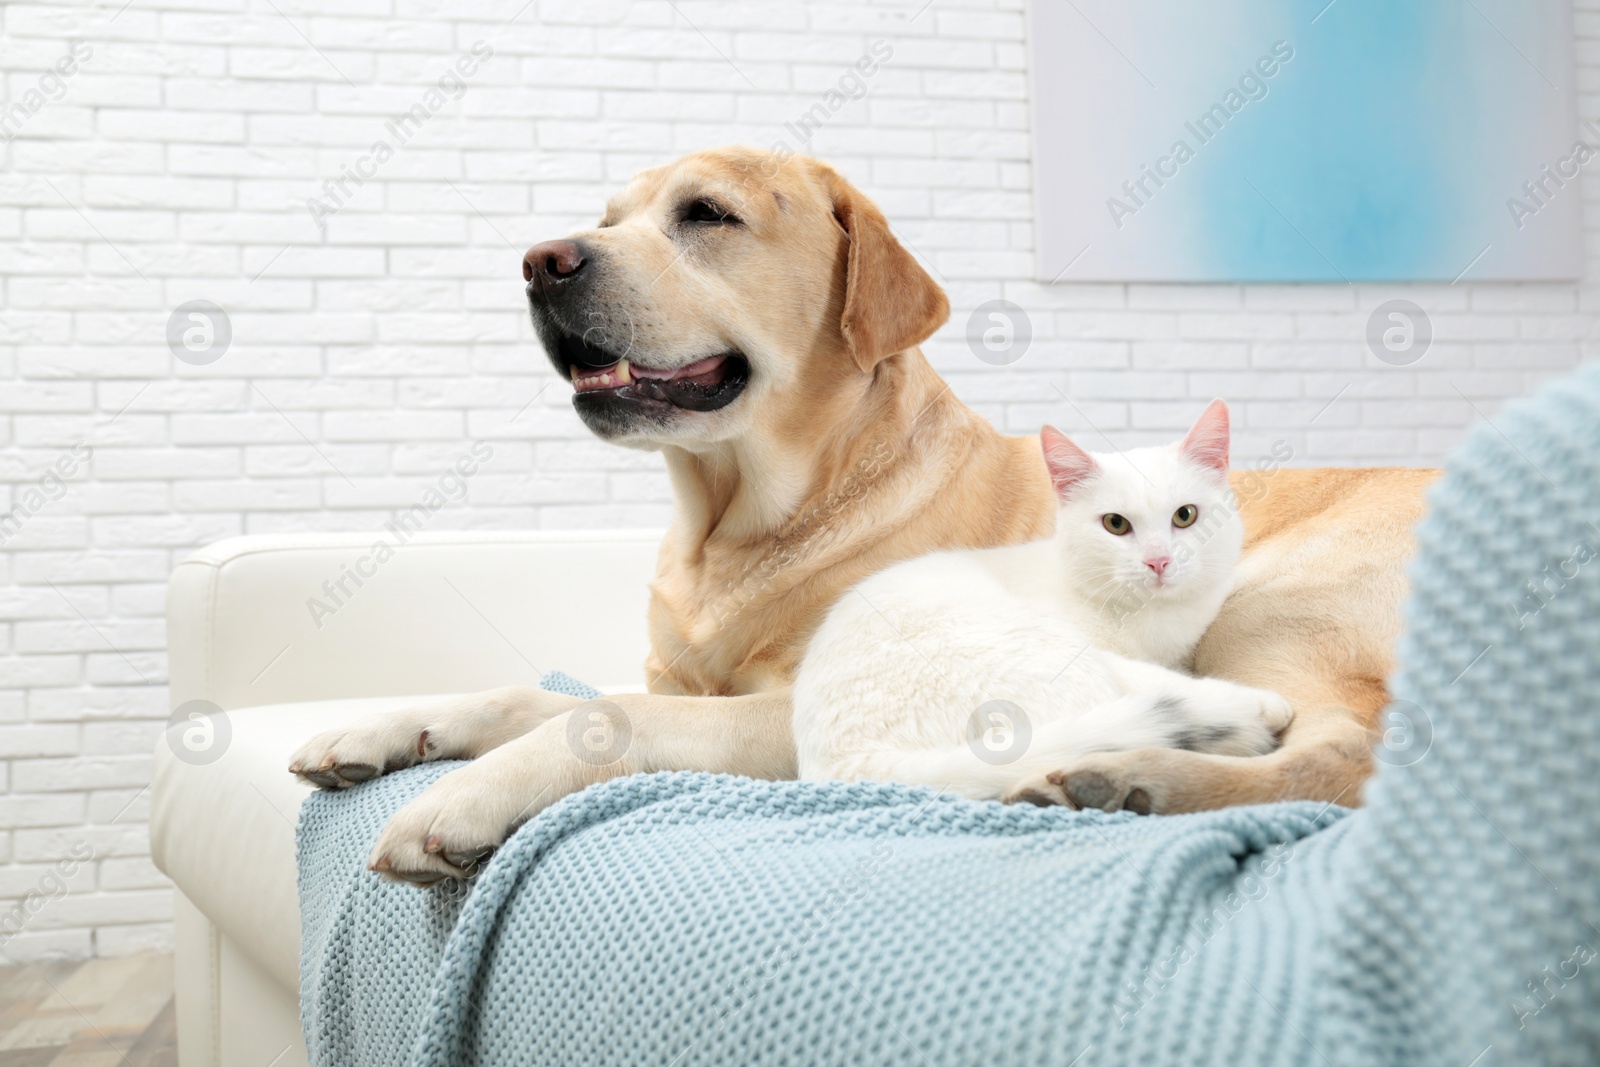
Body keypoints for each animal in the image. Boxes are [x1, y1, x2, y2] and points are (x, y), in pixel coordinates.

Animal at [793, 399, 1292, 809]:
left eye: (1185, 516)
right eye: (1115, 524)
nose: (1158, 561)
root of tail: (849, 764)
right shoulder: (1114, 659)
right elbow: (1164, 679)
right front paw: (1262, 704)